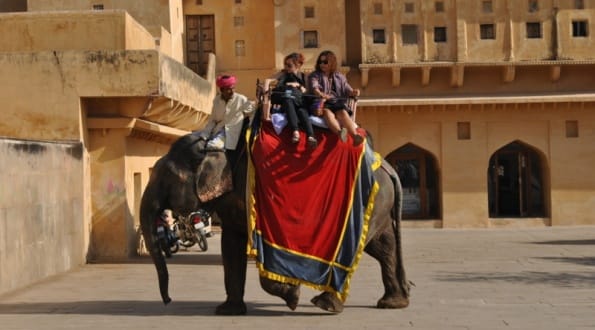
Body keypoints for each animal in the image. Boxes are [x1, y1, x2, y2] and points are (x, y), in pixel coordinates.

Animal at [139, 125, 410, 314]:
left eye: (165, 179)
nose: (168, 300)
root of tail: (388, 166)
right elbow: (231, 245)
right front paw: (227, 311)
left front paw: (293, 297)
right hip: (379, 205)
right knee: (383, 247)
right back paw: (393, 303)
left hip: (367, 202)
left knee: (357, 251)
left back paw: (325, 304)